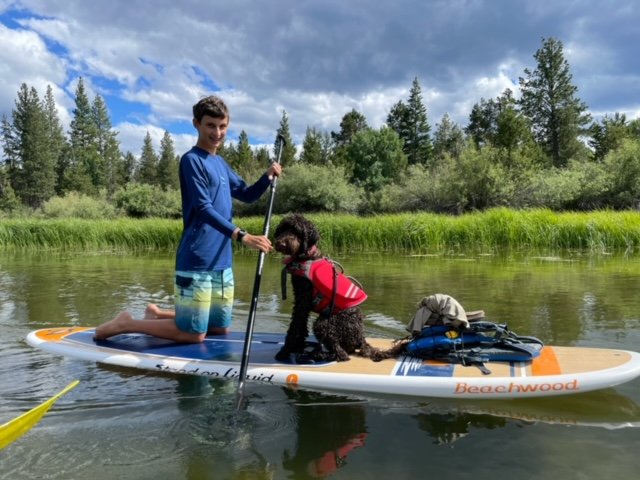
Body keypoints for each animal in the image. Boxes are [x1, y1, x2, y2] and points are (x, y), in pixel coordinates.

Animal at [272, 215, 382, 364]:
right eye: (283, 229)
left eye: (297, 231)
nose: (281, 243)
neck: (307, 256)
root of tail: (361, 338)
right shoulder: (301, 300)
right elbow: (301, 327)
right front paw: (298, 347)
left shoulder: (303, 301)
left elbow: (295, 327)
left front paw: (285, 352)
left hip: (323, 324)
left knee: (342, 355)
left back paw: (318, 355)